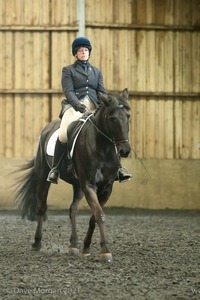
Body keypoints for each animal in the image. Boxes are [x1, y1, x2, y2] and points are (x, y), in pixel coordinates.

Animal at [14, 88, 131, 262]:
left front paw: (86, 247)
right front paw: (105, 251)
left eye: (128, 117)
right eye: (113, 118)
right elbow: (99, 215)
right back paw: (37, 243)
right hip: (44, 176)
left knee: (73, 209)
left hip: (78, 185)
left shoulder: (106, 187)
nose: (125, 151)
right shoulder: (89, 184)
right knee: (42, 207)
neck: (103, 148)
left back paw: (73, 245)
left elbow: (94, 217)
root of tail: (47, 128)